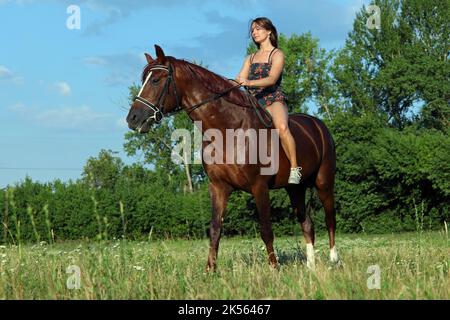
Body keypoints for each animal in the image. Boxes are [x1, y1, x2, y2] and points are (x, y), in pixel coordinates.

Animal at [125, 44, 338, 270]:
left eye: (156, 80)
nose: (133, 119)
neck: (228, 130)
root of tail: (319, 125)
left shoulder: (259, 187)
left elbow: (266, 230)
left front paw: (274, 268)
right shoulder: (219, 187)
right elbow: (215, 230)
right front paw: (210, 270)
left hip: (324, 183)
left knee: (330, 219)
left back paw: (334, 260)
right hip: (295, 188)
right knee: (307, 224)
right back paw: (311, 267)